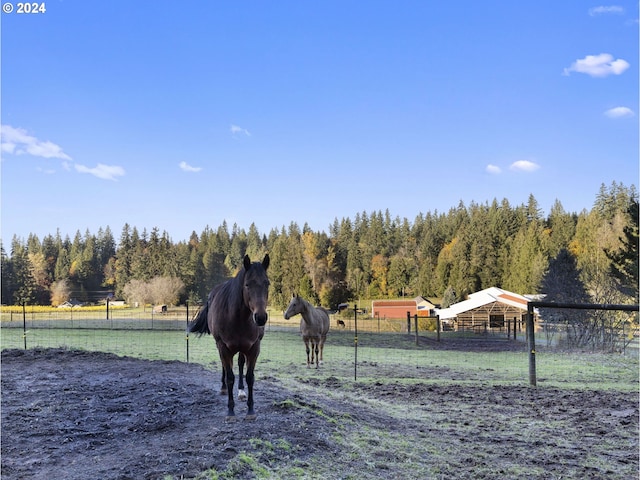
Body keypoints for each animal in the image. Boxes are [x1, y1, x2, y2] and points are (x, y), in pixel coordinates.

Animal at [190, 255, 270, 420]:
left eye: (267, 283)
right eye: (247, 284)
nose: (260, 317)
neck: (237, 318)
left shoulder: (254, 348)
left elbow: (250, 377)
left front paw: (250, 410)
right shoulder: (223, 347)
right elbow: (230, 377)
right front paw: (231, 411)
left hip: (241, 347)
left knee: (239, 364)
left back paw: (241, 391)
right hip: (221, 346)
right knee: (225, 367)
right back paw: (223, 388)